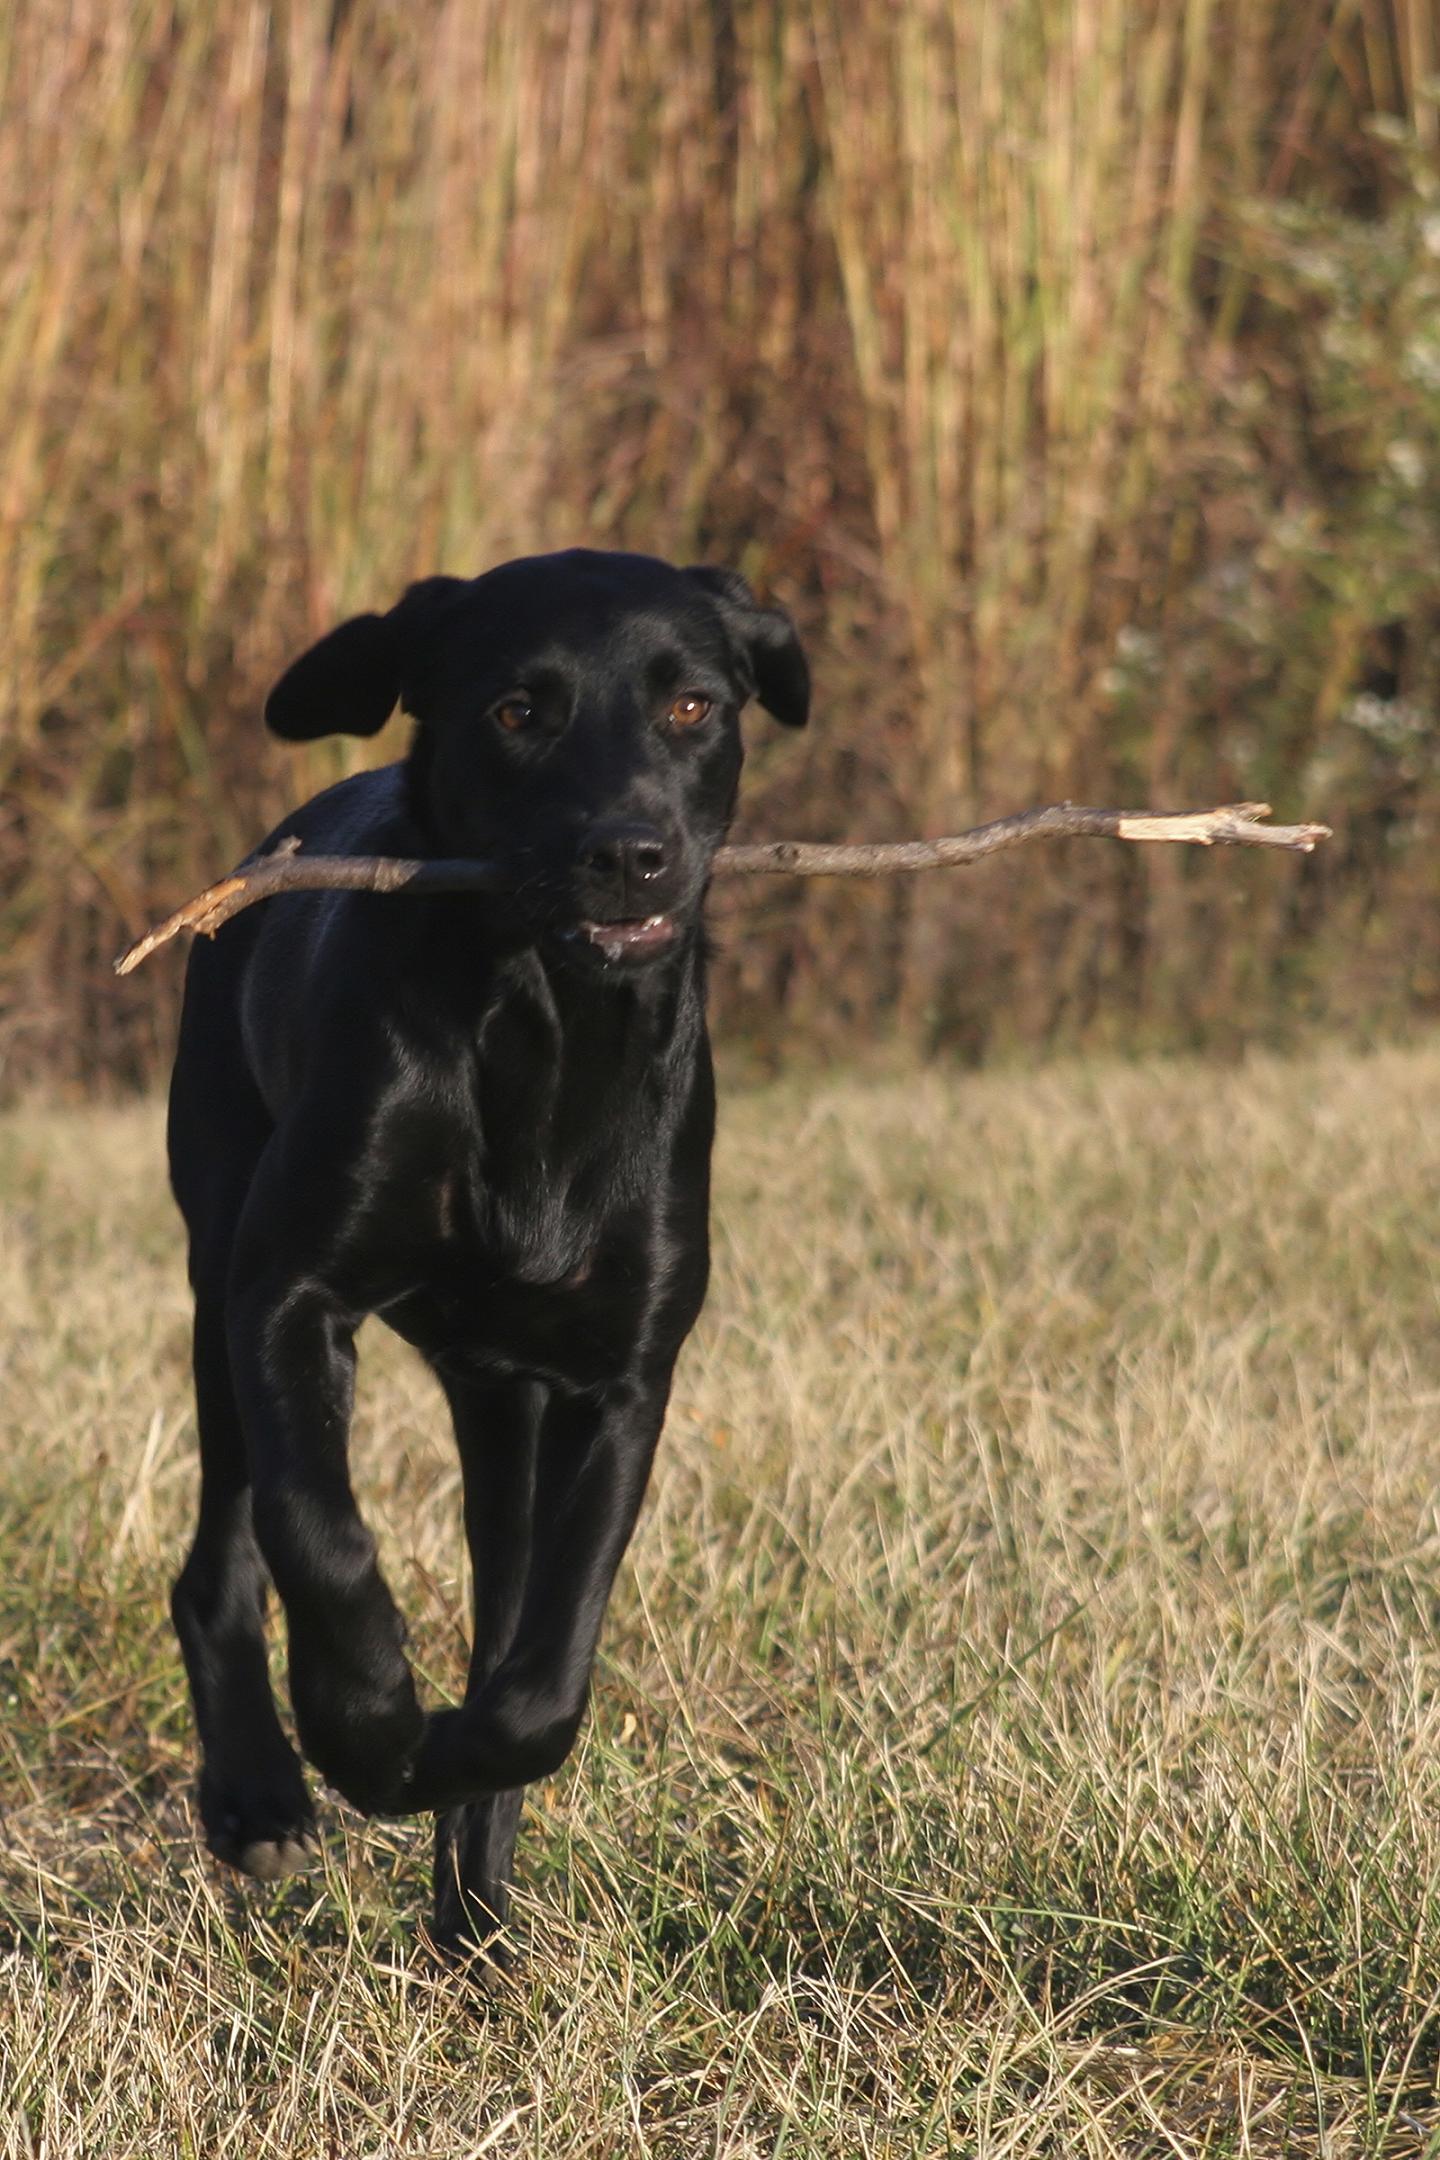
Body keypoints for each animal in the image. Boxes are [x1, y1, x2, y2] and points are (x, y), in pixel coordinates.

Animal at [165, 548, 808, 1958]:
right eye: (519, 711)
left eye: (692, 706)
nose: (629, 855)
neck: (549, 1025)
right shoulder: (285, 1295)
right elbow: (319, 1535)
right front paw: (363, 1727)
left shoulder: (621, 1381)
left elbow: (547, 1670)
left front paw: (453, 1763)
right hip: (214, 1262)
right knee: (218, 1559)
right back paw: (260, 1796)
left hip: (503, 1402)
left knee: (505, 1608)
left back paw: (475, 1928)